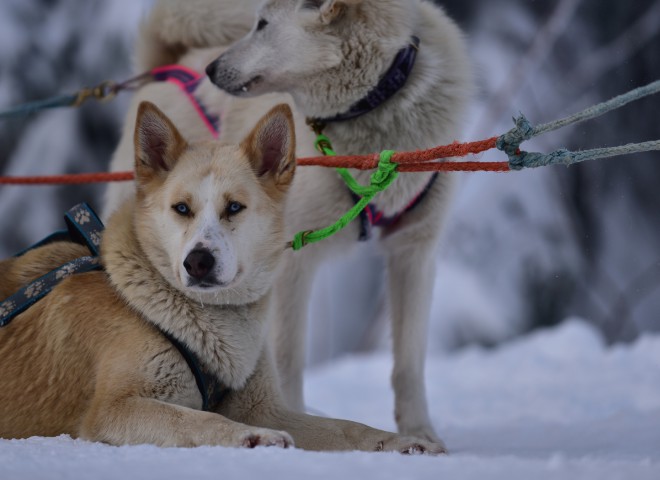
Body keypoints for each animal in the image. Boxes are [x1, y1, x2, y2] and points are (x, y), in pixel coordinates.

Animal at [1, 101, 444, 454]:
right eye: (181, 208)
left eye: (234, 207)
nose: (197, 262)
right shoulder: (113, 409)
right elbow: (196, 420)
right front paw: (251, 437)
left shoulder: (264, 407)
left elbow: (348, 428)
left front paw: (404, 441)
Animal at [105, 0, 472, 448]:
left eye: (263, 24)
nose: (212, 69)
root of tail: (172, 65)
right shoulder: (293, 262)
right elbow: (289, 358)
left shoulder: (414, 252)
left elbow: (408, 361)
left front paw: (420, 433)